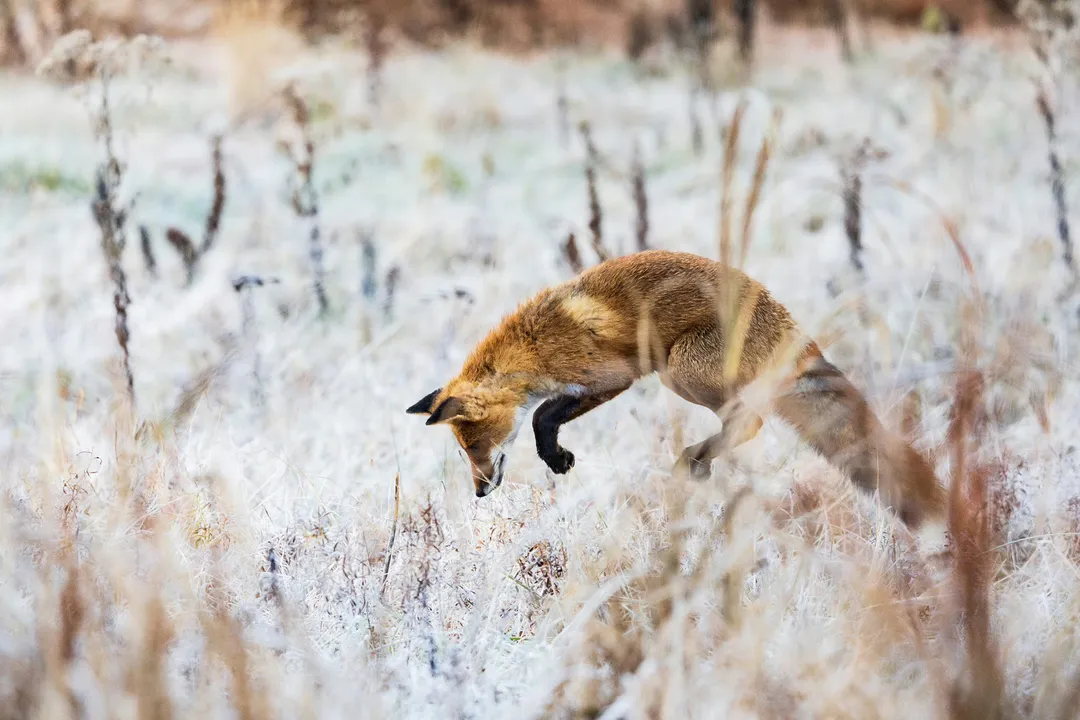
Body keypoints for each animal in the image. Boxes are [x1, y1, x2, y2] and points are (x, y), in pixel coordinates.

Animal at [406, 249, 947, 531]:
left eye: (475, 447)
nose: (479, 492)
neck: (532, 348)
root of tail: (792, 328)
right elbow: (544, 413)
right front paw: (555, 456)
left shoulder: (611, 376)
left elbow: (542, 415)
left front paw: (555, 457)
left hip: (679, 370)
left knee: (749, 420)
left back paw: (696, 459)